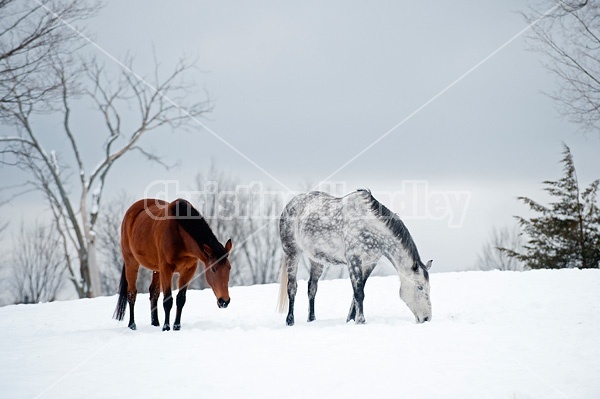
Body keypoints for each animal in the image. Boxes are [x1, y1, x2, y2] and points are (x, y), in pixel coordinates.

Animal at [113, 198, 233, 332]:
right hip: (131, 262)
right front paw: (166, 327)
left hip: (156, 270)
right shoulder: (166, 269)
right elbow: (167, 300)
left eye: (229, 268)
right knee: (132, 293)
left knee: (153, 293)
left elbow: (180, 299)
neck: (180, 236)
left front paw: (176, 326)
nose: (224, 301)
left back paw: (155, 323)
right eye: (213, 269)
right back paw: (132, 325)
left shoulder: (188, 271)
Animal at [276, 192, 432, 326]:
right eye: (419, 287)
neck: (370, 226)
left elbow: (358, 291)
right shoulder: (353, 259)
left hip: (316, 259)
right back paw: (290, 321)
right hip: (292, 252)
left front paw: (351, 320)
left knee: (312, 288)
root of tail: (290, 204)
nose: (426, 318)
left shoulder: (370, 263)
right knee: (292, 287)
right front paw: (360, 321)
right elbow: (358, 293)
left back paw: (312, 319)